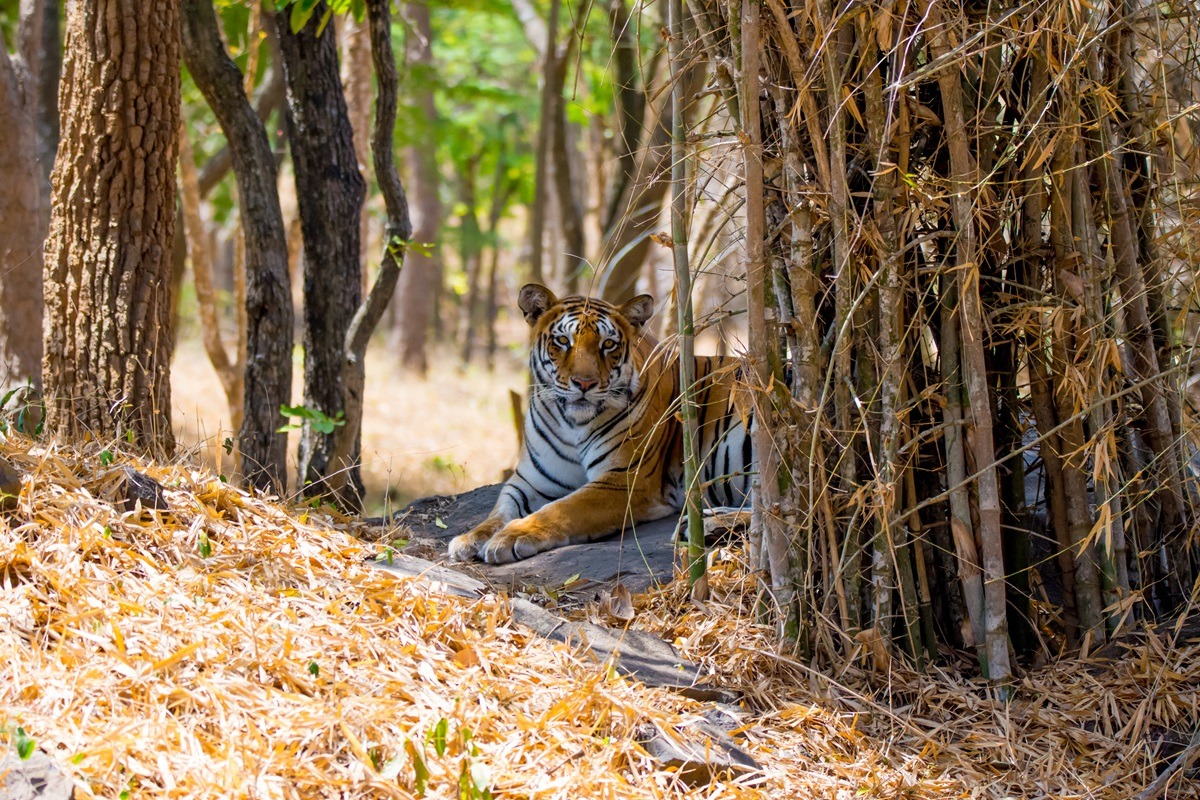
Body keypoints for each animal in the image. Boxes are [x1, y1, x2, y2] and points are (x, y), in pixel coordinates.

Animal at [451, 284, 748, 566]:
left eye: (608, 344)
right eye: (563, 341)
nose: (585, 383)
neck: (571, 423)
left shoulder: (624, 481)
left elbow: (562, 509)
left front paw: (511, 537)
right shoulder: (531, 481)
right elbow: (499, 510)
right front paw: (468, 539)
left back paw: (707, 526)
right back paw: (704, 525)